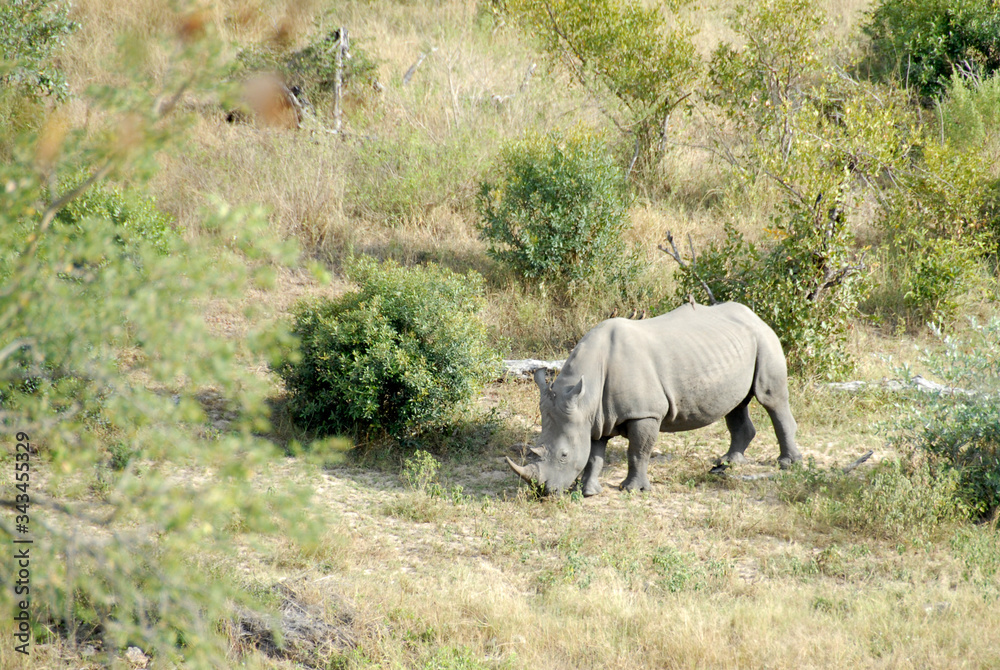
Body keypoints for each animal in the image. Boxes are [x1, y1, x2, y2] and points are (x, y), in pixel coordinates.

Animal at [506, 301, 802, 495]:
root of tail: (754, 315)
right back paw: (727, 462)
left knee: (770, 398)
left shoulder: (645, 412)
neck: (586, 394)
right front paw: (587, 492)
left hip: (765, 338)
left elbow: (638, 451)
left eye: (564, 455)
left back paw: (788, 464)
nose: (543, 492)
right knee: (736, 405)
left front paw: (632, 490)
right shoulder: (596, 415)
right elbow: (594, 454)